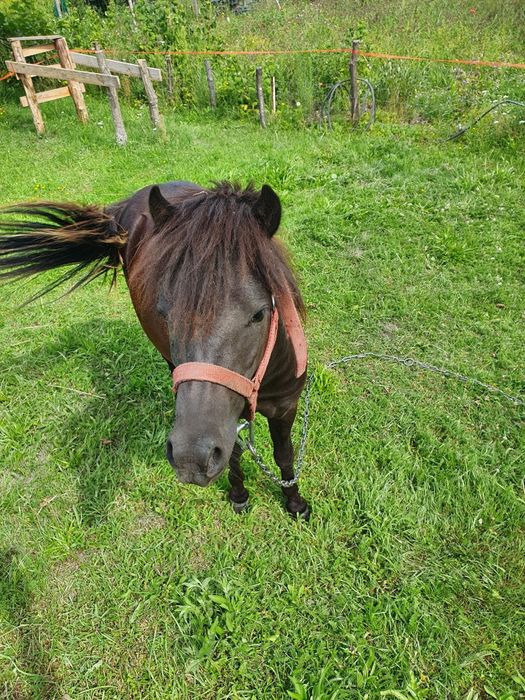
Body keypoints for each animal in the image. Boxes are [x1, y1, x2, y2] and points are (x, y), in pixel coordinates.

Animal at [0, 183, 310, 516]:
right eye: (165, 313)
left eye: (259, 314)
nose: (191, 458)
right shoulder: (228, 420)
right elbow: (236, 454)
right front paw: (239, 495)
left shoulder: (285, 406)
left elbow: (284, 454)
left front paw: (295, 503)